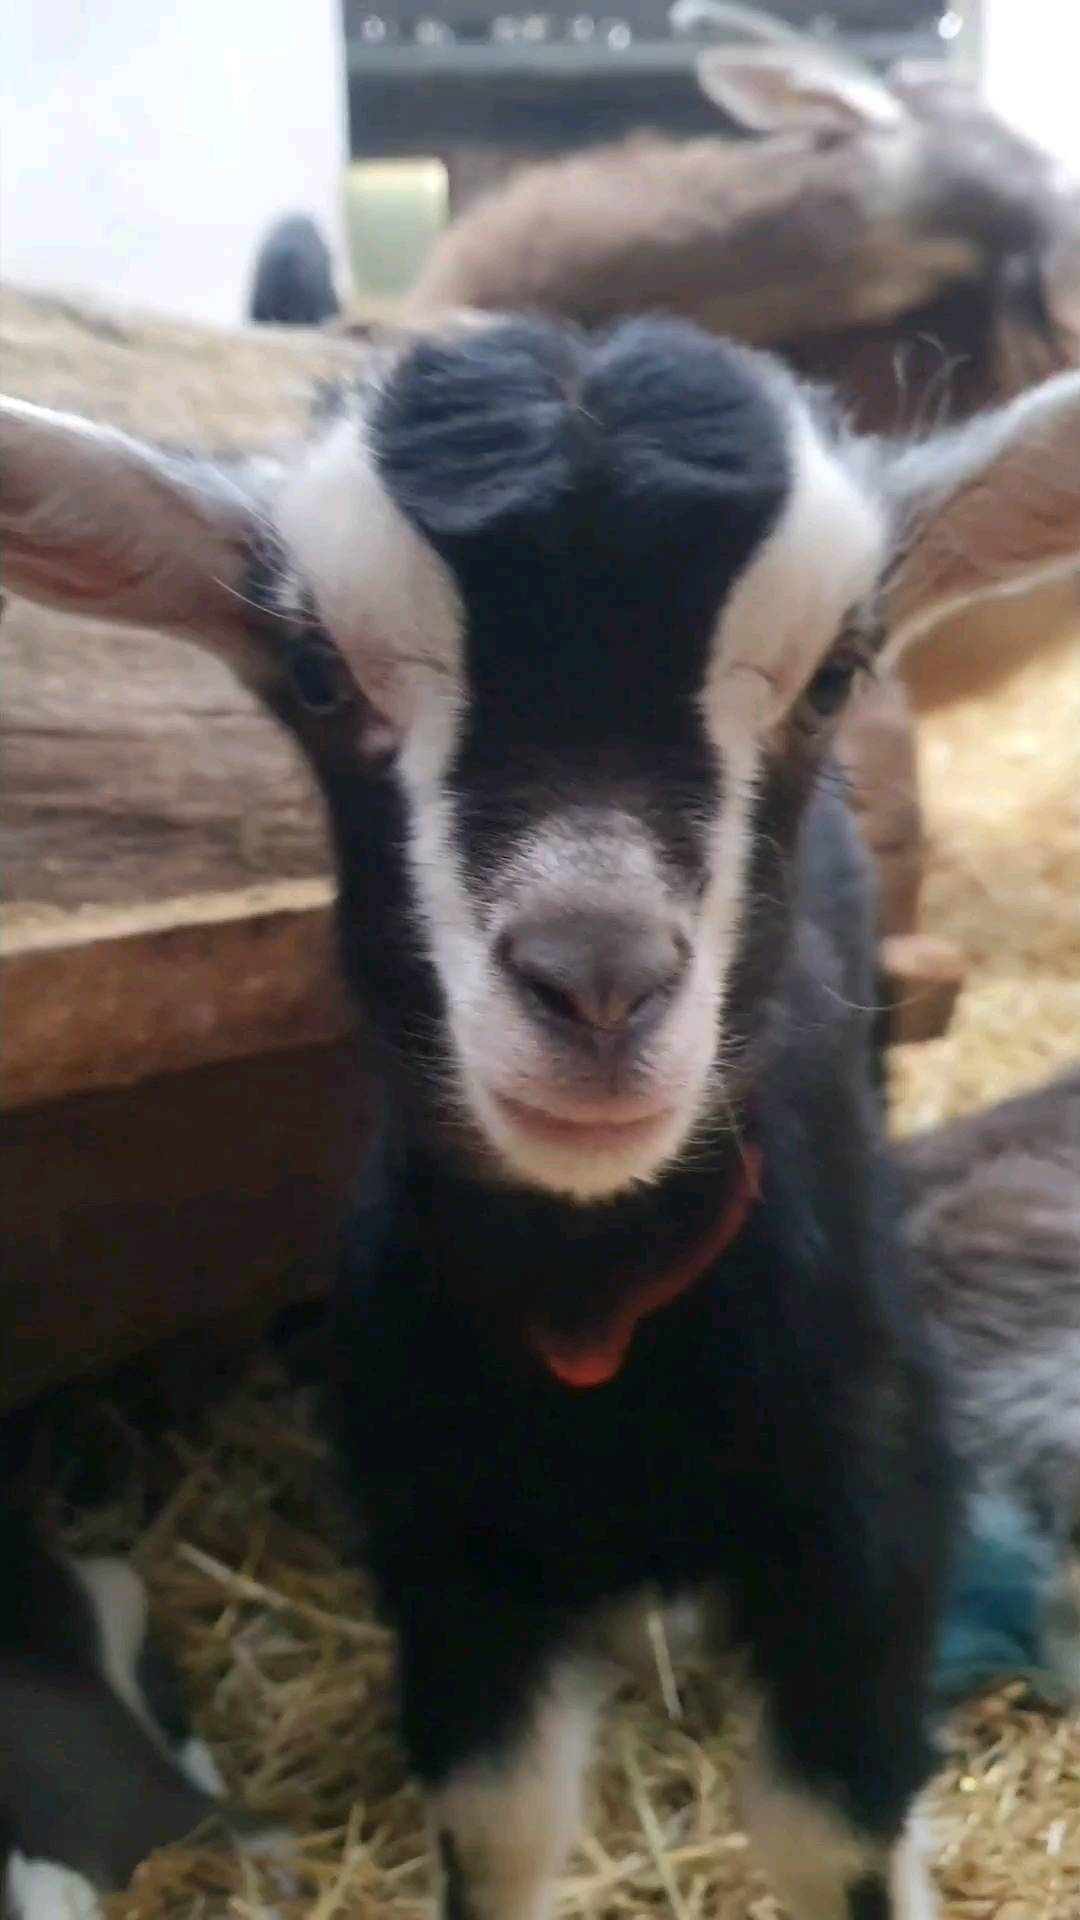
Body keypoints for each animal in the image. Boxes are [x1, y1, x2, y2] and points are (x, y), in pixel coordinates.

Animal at [6, 318, 1080, 1920]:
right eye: (319, 673)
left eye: (835, 672)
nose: (598, 979)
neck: (599, 1315)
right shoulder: (455, 1560)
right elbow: (501, 1832)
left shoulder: (864, 1536)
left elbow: (834, 1838)